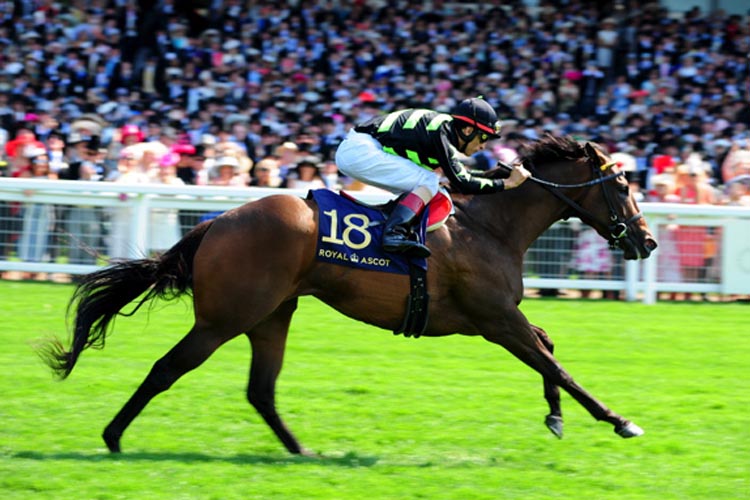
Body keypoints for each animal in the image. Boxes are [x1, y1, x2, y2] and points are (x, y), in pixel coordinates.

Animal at [38, 135, 656, 456]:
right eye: (623, 184)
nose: (646, 240)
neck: (489, 224)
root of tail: (214, 223)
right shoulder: (495, 319)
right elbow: (558, 366)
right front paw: (619, 420)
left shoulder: (498, 317)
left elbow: (549, 351)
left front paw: (554, 418)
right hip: (225, 317)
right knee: (167, 368)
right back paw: (113, 437)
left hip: (272, 314)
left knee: (260, 389)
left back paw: (300, 451)